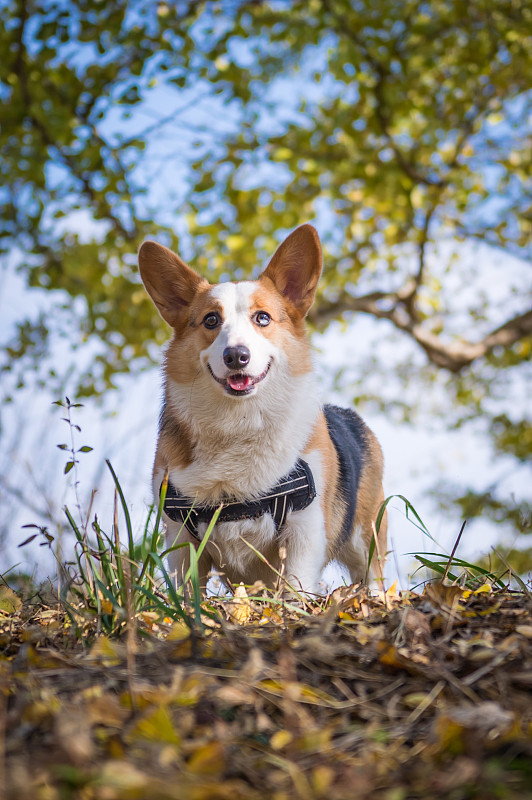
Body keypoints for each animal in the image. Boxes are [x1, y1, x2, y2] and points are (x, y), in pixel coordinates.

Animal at [138, 225, 386, 592]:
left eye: (263, 318)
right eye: (211, 320)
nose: (236, 356)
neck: (238, 421)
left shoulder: (304, 532)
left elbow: (296, 589)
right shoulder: (180, 537)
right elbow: (186, 591)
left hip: (366, 540)